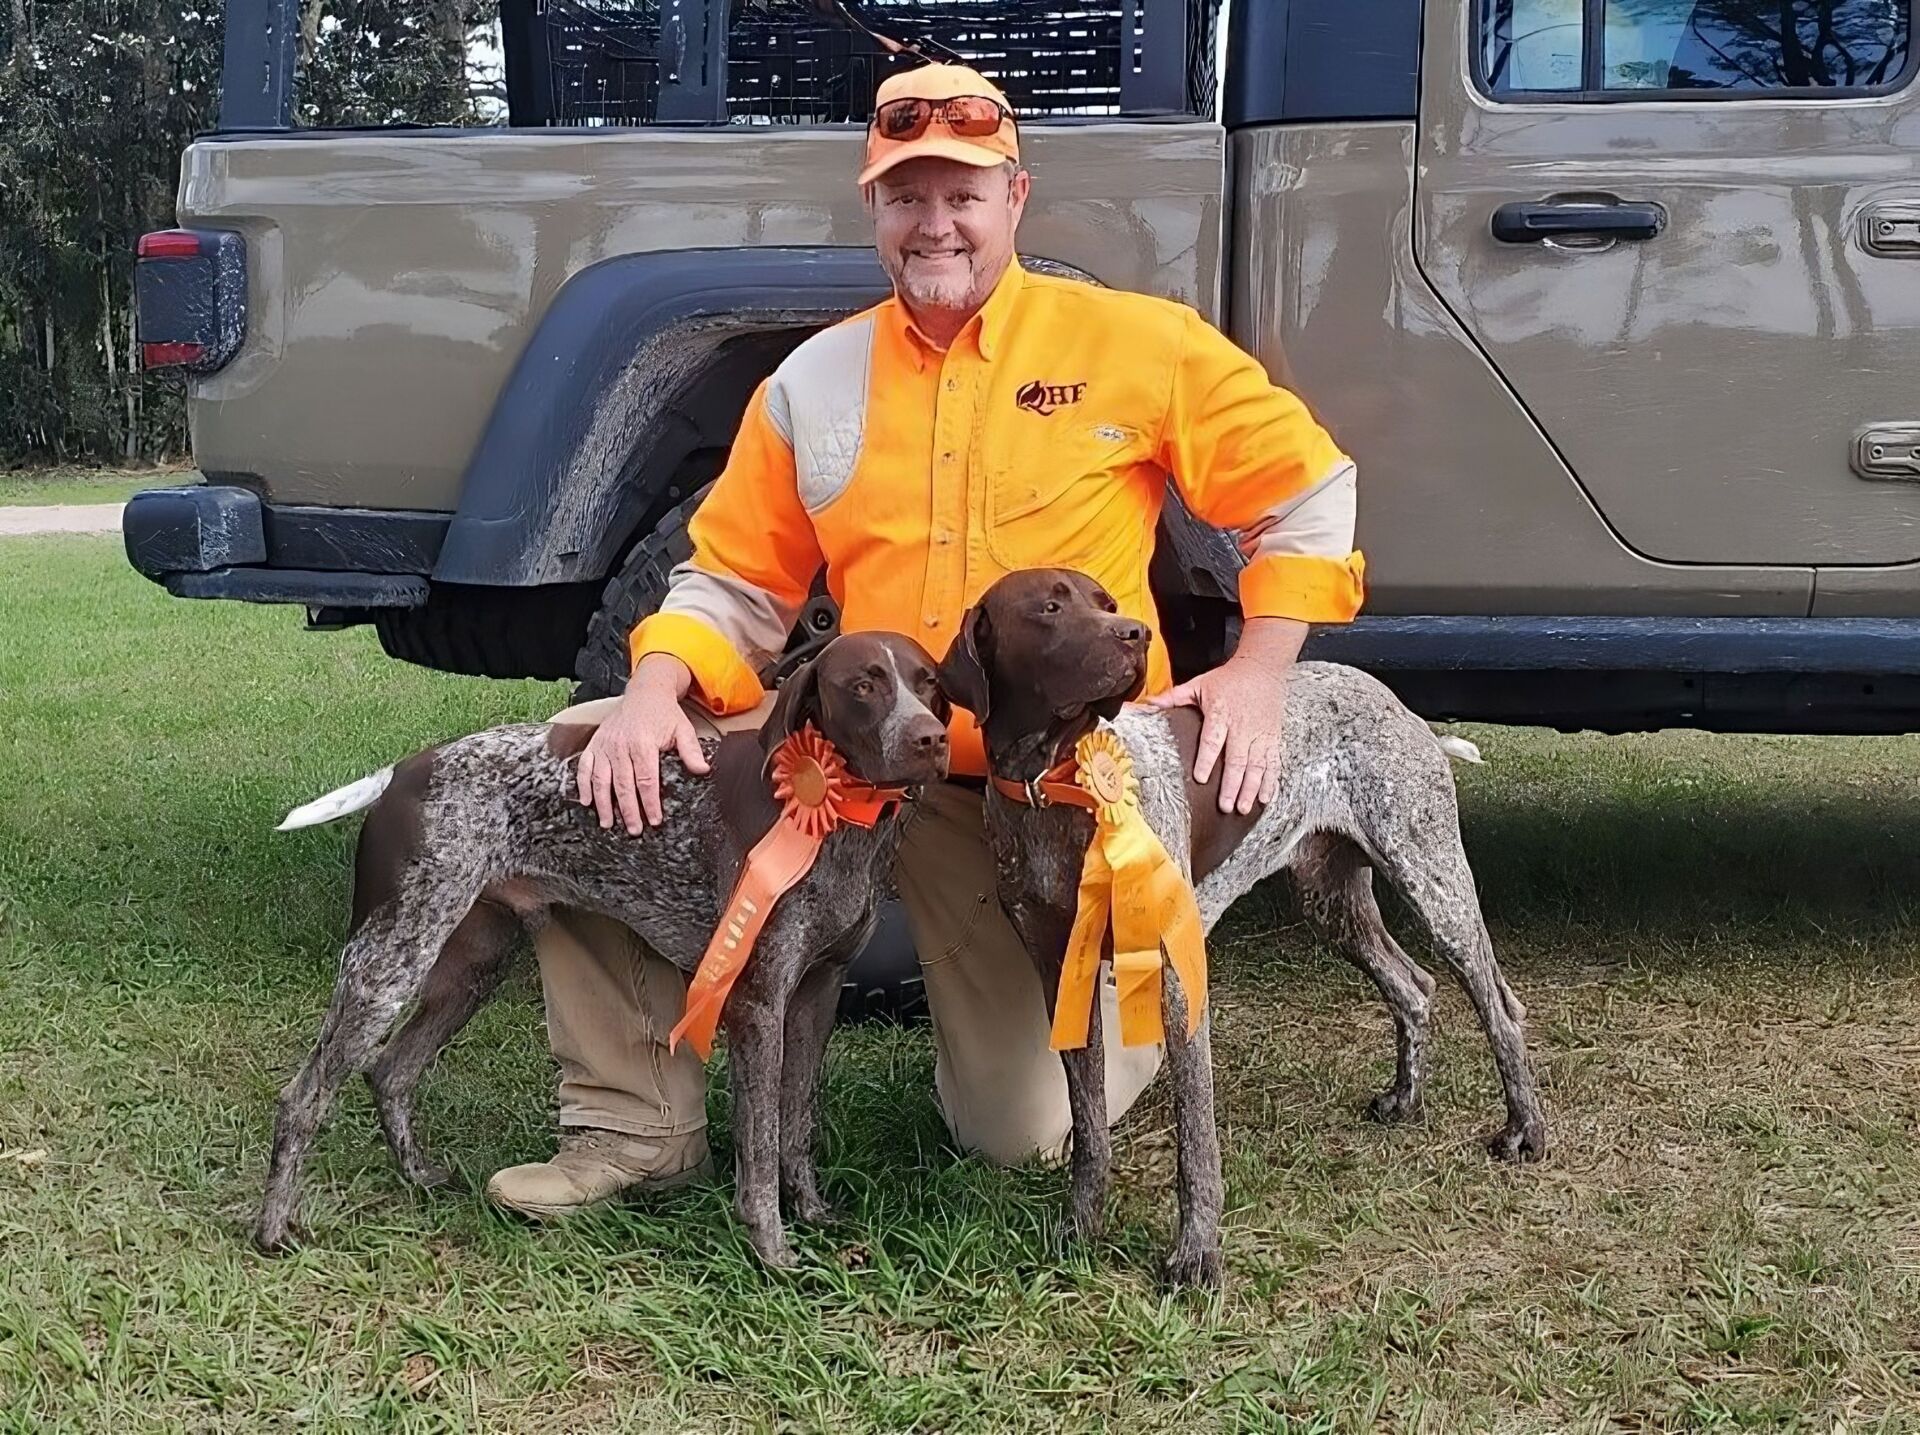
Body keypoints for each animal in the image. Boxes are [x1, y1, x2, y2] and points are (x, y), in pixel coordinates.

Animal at [256, 632, 951, 1266]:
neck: (834, 817)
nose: (932, 738)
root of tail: (404, 772)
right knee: (302, 1099)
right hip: (388, 961)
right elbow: (760, 1145)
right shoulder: (757, 1003)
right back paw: (273, 1229)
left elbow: (798, 1125)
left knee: (391, 1071)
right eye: (862, 686)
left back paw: (418, 1178)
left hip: (470, 964)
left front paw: (811, 1212)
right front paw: (770, 1250)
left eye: (930, 683)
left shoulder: (816, 993)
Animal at [936, 569, 1546, 1287]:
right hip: (1331, 900)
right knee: (1414, 986)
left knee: (1499, 1005)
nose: (1136, 635)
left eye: (1107, 604)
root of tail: (1397, 704)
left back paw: (1524, 1129)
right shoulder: (1063, 973)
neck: (1053, 786)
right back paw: (1405, 1098)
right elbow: (1088, 1128)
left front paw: (1196, 1253)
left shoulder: (1176, 981)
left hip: (1433, 878)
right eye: (1050, 608)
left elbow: (1195, 1138)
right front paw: (1080, 1228)